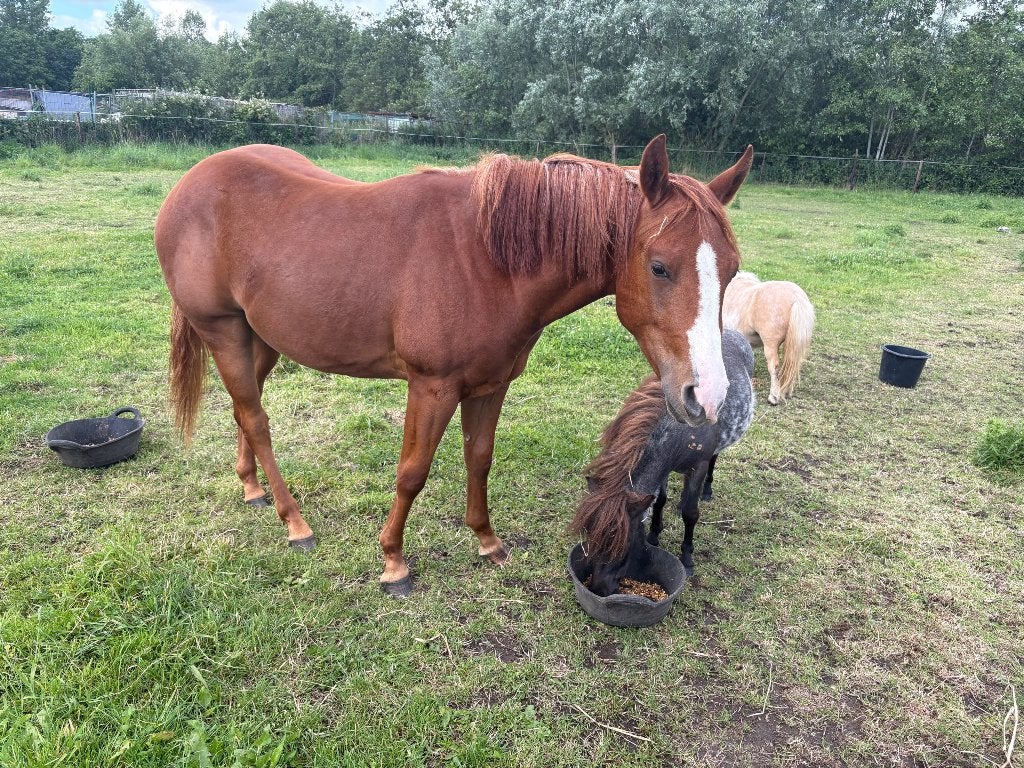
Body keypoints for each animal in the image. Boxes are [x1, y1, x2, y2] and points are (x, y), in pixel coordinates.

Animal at [570, 329, 755, 597]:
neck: (680, 428)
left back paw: (706, 491)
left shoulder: (698, 465)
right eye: (590, 538)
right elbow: (659, 501)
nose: (599, 588)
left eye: (623, 545)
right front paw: (654, 535)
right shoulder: (663, 467)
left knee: (713, 462)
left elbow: (691, 513)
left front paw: (687, 559)